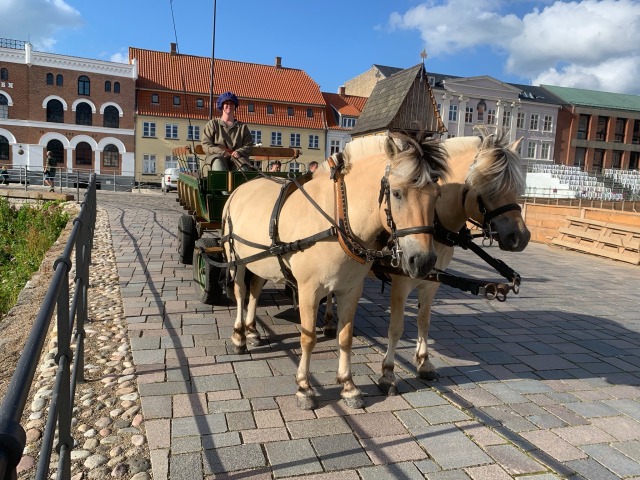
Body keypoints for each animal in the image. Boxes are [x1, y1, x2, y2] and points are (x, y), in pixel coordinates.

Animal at [222, 133, 448, 410]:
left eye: (437, 194)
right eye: (397, 193)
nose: (423, 261)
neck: (336, 218)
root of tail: (239, 189)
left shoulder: (350, 289)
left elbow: (345, 336)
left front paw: (348, 386)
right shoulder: (308, 290)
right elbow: (308, 338)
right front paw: (304, 388)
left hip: (263, 262)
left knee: (254, 291)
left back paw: (253, 331)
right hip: (237, 260)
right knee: (241, 293)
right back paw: (239, 337)